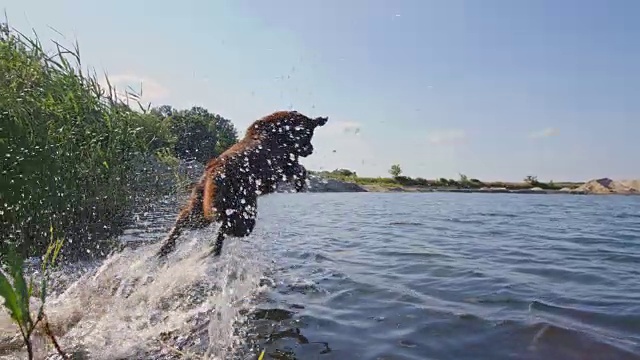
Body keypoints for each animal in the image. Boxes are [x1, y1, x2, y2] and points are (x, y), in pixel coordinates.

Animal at [154, 110, 324, 258]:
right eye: (308, 135)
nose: (310, 149)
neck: (280, 133)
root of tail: (213, 172)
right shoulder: (283, 165)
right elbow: (300, 169)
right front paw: (299, 184)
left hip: (202, 205)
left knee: (186, 220)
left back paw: (166, 248)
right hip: (235, 211)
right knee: (227, 227)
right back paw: (210, 250)